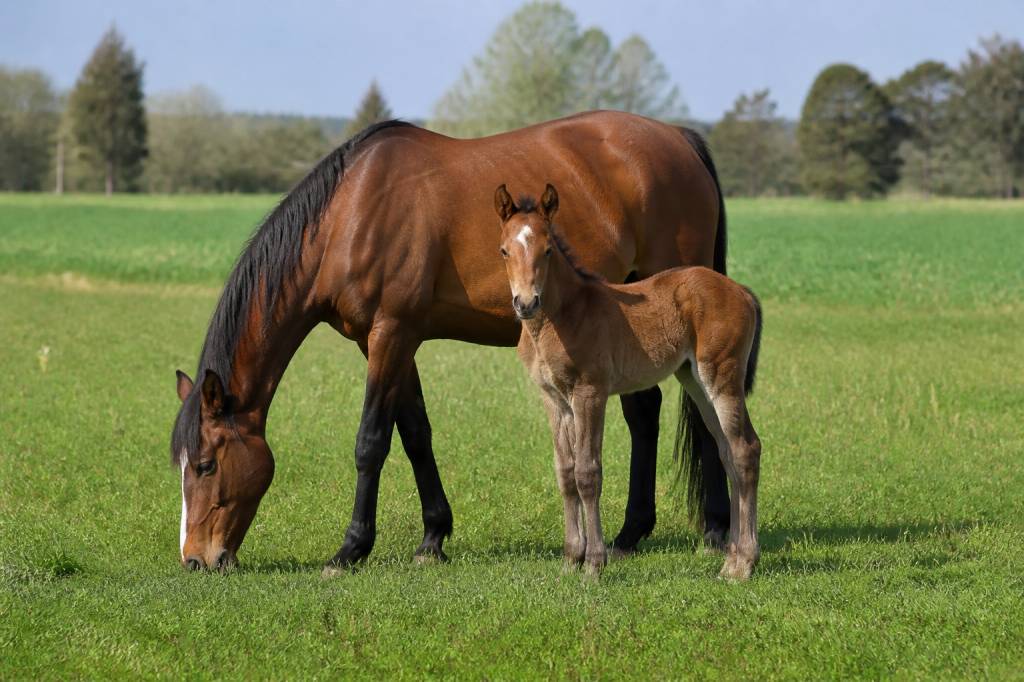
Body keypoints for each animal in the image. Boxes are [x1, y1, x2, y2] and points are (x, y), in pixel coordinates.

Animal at [170, 111, 734, 574]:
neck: (351, 214)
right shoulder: (388, 340)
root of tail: (679, 138)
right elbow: (415, 434)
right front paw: (433, 538)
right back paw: (631, 533)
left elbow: (371, 442)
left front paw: (351, 548)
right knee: (645, 411)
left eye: (205, 464)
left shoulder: (390, 333)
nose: (197, 560)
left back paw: (715, 529)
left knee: (700, 410)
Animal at [495, 183, 763, 579]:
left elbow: (588, 473)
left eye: (547, 249)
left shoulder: (590, 393)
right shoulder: (554, 399)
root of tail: (741, 290)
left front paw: (594, 563)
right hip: (695, 381)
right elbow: (565, 473)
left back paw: (743, 562)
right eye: (504, 250)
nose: (526, 303)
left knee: (746, 449)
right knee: (728, 451)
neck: (565, 315)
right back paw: (731, 556)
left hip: (721, 374)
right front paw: (570, 558)